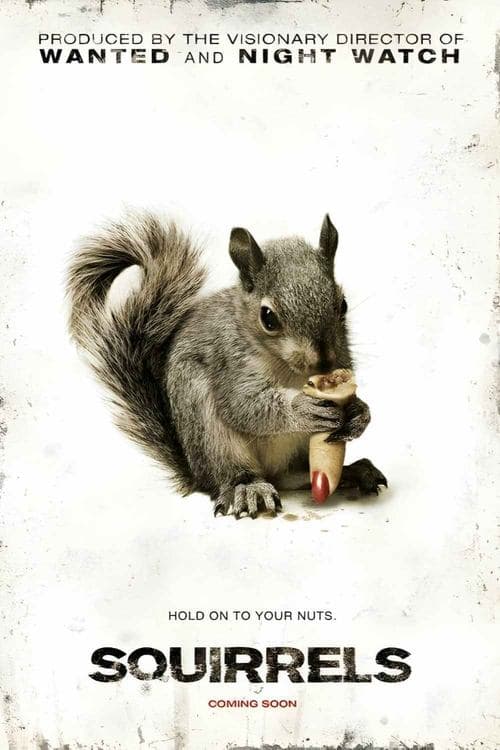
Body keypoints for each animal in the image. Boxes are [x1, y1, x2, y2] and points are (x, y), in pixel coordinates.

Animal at [67, 212, 387, 518]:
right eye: (268, 317)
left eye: (342, 304)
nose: (322, 361)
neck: (292, 372)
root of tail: (197, 475)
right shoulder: (229, 361)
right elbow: (243, 405)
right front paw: (301, 408)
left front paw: (359, 413)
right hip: (207, 428)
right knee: (232, 472)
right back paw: (247, 488)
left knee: (292, 477)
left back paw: (352, 472)